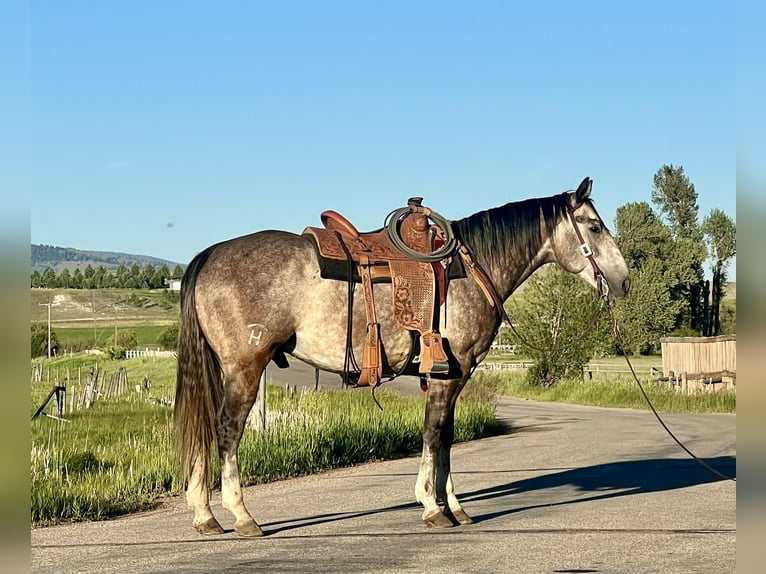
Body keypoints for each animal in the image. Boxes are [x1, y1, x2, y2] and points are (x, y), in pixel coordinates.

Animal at [174, 178, 632, 536]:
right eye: (594, 225)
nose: (624, 281)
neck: (471, 270)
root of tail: (210, 254)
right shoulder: (452, 373)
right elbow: (435, 435)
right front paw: (433, 507)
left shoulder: (448, 376)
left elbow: (446, 438)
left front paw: (453, 506)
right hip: (244, 369)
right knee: (227, 431)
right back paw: (241, 515)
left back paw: (204, 516)